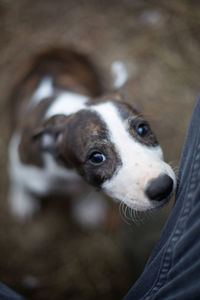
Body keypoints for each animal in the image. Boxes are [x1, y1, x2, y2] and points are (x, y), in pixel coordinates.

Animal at [7, 47, 177, 225]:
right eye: (96, 157)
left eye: (142, 129)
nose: (162, 187)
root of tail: (52, 49)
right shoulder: (21, 160)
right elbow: (18, 179)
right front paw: (22, 200)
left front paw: (87, 206)